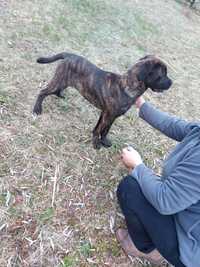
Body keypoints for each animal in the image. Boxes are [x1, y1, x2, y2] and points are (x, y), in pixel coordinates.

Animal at [32, 53, 172, 150]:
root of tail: (68, 55)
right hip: (58, 81)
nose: (172, 83)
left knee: (55, 90)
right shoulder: (108, 115)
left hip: (63, 82)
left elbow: (104, 129)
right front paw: (96, 144)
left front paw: (103, 141)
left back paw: (59, 95)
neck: (126, 85)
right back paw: (37, 109)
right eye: (162, 75)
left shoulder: (107, 114)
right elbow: (100, 129)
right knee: (42, 92)